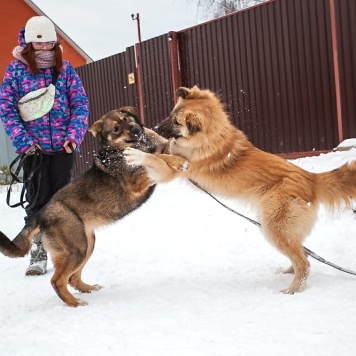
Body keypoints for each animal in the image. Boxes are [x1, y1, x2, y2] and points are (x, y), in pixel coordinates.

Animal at [0, 107, 188, 308]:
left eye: (126, 118)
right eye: (115, 129)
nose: (136, 129)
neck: (137, 144)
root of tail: (42, 213)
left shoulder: (158, 148)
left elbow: (162, 150)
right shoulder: (135, 182)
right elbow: (154, 157)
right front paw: (176, 161)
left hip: (87, 243)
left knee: (72, 278)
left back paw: (88, 289)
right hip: (78, 248)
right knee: (57, 280)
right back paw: (74, 303)